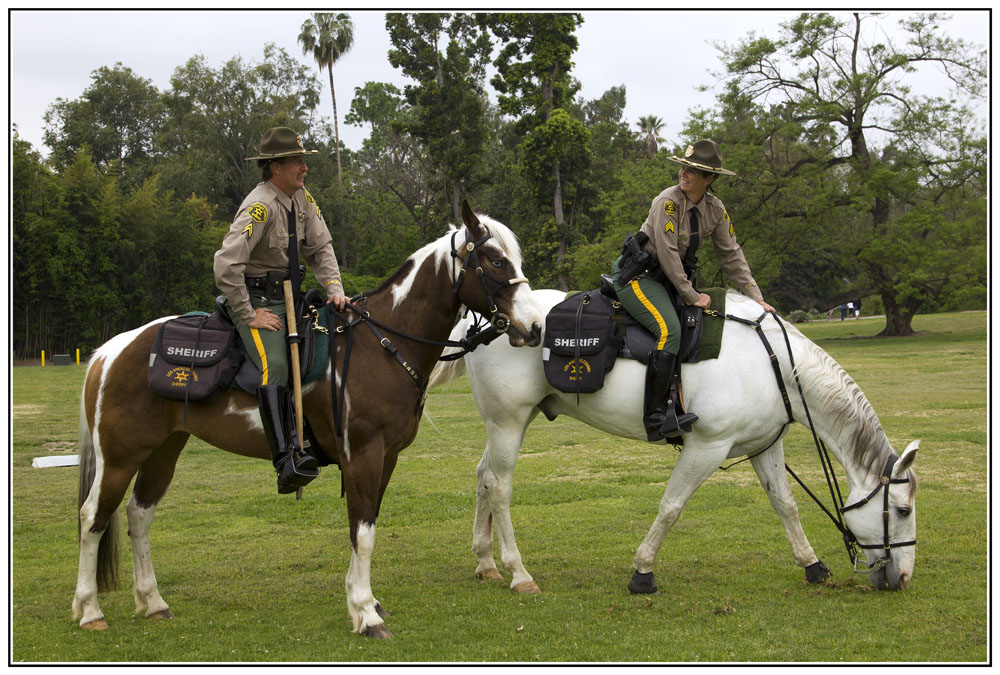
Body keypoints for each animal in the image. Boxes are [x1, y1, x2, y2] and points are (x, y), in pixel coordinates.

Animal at [71, 202, 544, 640]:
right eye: (496, 261)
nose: (536, 327)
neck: (380, 344)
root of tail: (111, 351)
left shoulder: (385, 458)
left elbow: (364, 524)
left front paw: (362, 601)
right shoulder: (363, 455)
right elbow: (363, 531)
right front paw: (366, 614)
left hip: (162, 451)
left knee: (138, 516)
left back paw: (153, 602)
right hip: (119, 458)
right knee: (93, 517)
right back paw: (90, 609)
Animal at [428, 288, 916, 596]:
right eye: (903, 510)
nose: (904, 577)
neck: (771, 362)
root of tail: (493, 318)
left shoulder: (763, 446)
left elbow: (785, 505)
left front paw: (812, 565)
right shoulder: (707, 447)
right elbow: (671, 507)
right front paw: (643, 572)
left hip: (510, 422)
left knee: (483, 477)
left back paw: (486, 563)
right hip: (508, 421)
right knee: (499, 487)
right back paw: (517, 572)